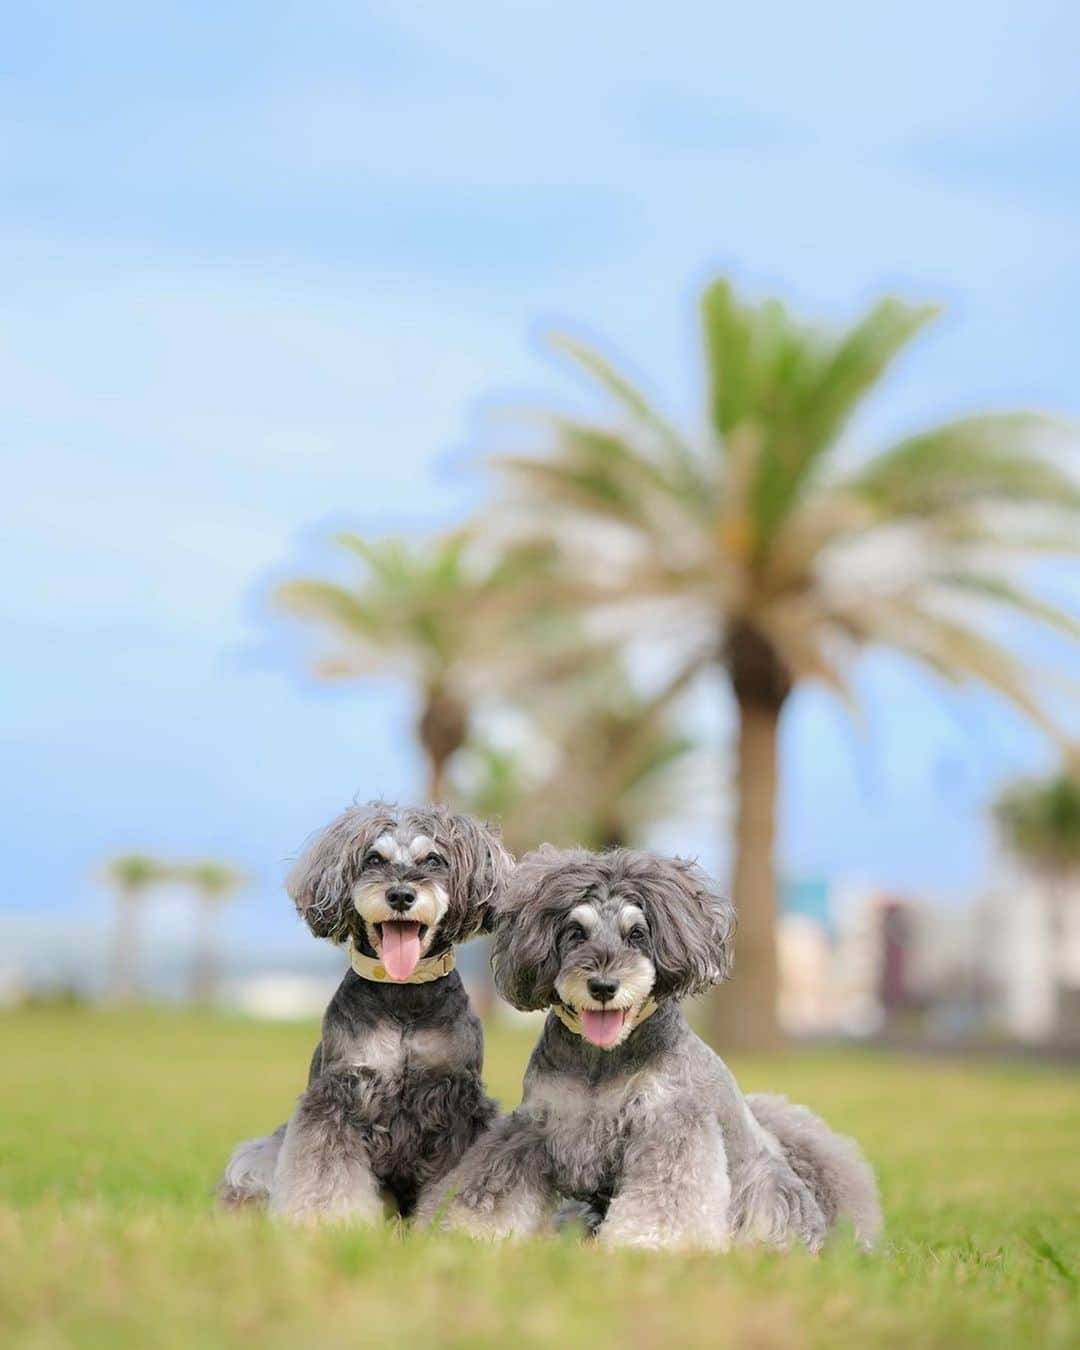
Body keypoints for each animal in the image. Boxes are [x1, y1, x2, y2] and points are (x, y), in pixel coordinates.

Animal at [217, 799, 513, 1225]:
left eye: (433, 859)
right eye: (374, 858)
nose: (401, 895)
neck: (403, 994)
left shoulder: (458, 1104)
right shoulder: (338, 1097)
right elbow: (325, 1176)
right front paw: (324, 1223)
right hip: (258, 1157)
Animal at [418, 847, 880, 1247]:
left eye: (637, 934)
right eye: (575, 932)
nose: (603, 986)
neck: (601, 1059)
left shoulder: (669, 1130)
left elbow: (666, 1199)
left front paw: (647, 1243)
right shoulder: (533, 1129)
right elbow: (489, 1187)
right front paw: (460, 1231)